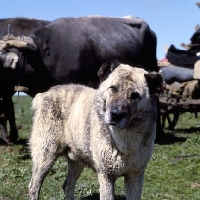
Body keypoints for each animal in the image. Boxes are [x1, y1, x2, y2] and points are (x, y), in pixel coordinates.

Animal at [27, 60, 162, 199]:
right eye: (113, 88)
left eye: (135, 95)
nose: (115, 115)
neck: (125, 139)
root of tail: (44, 94)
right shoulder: (106, 177)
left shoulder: (135, 177)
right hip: (45, 157)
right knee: (33, 187)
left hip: (76, 161)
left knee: (67, 186)